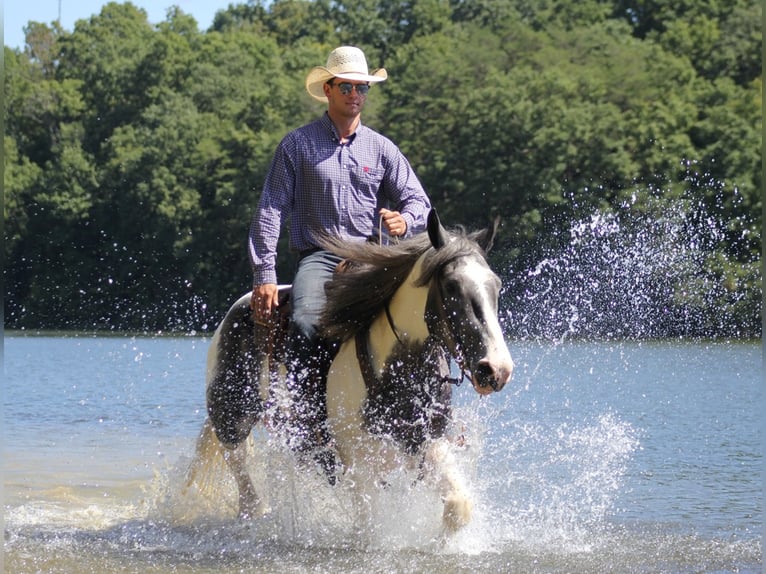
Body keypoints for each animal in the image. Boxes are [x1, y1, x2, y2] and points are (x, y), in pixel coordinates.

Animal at [190, 210, 516, 536]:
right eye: (451, 285)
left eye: (496, 285)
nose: (497, 369)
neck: (397, 374)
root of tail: (238, 309)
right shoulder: (359, 467)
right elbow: (369, 527)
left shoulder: (426, 446)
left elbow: (458, 507)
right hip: (232, 418)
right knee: (240, 469)